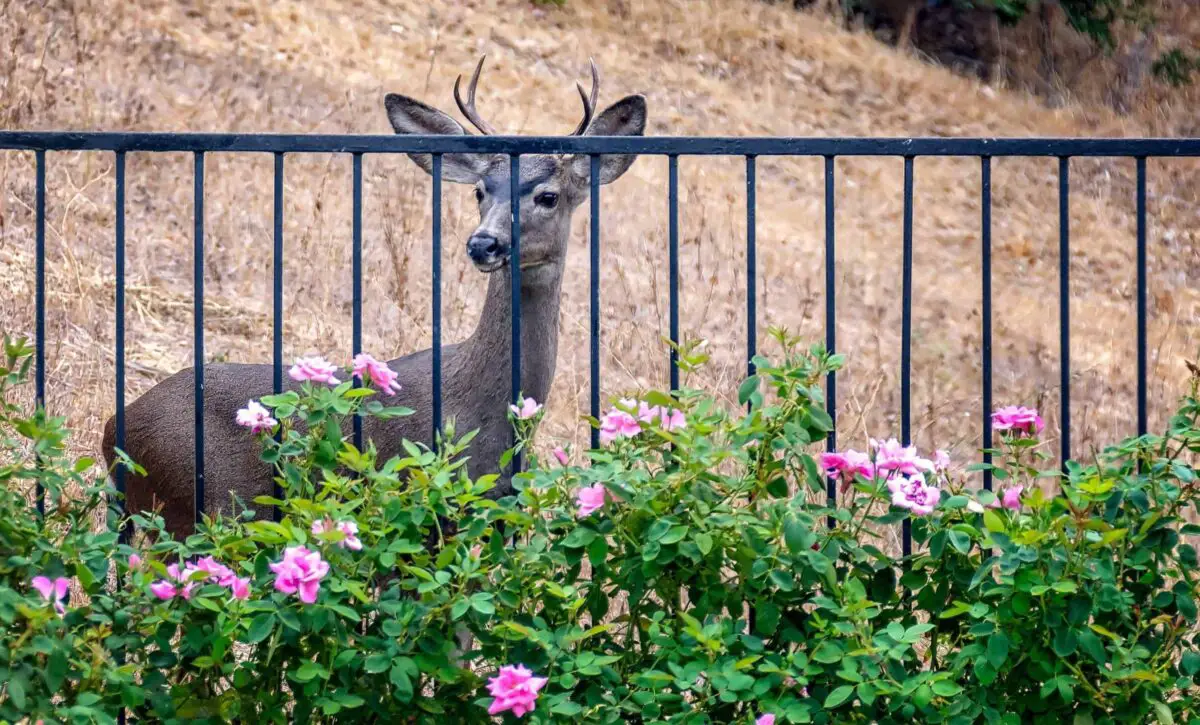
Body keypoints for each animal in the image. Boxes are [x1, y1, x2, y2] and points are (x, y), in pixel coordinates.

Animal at [102, 56, 648, 537]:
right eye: (480, 191)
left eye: (549, 196)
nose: (483, 243)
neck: (482, 409)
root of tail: (113, 433)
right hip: (196, 505)